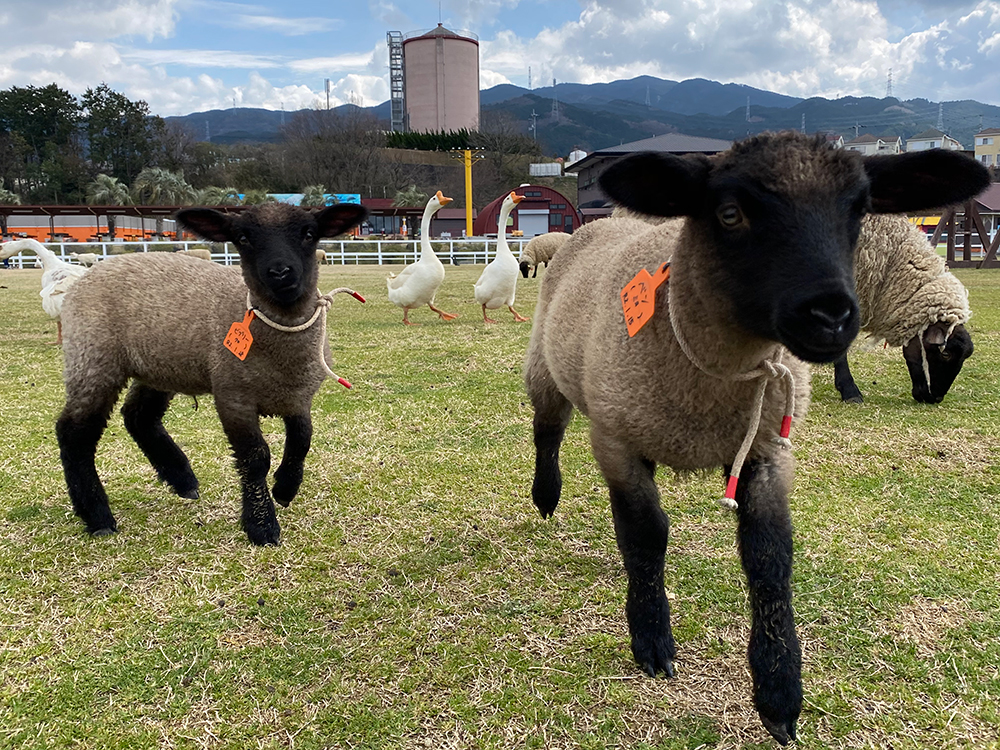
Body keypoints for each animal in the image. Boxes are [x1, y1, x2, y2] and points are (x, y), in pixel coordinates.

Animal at [54, 204, 368, 548]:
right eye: (242, 238)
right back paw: (98, 515)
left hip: (160, 364)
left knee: (138, 416)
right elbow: (255, 458)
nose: (280, 273)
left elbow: (302, 440)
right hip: (93, 359)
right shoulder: (233, 397)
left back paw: (182, 479)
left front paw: (285, 488)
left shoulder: (299, 396)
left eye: (309, 233)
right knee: (75, 433)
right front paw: (262, 526)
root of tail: (89, 274)